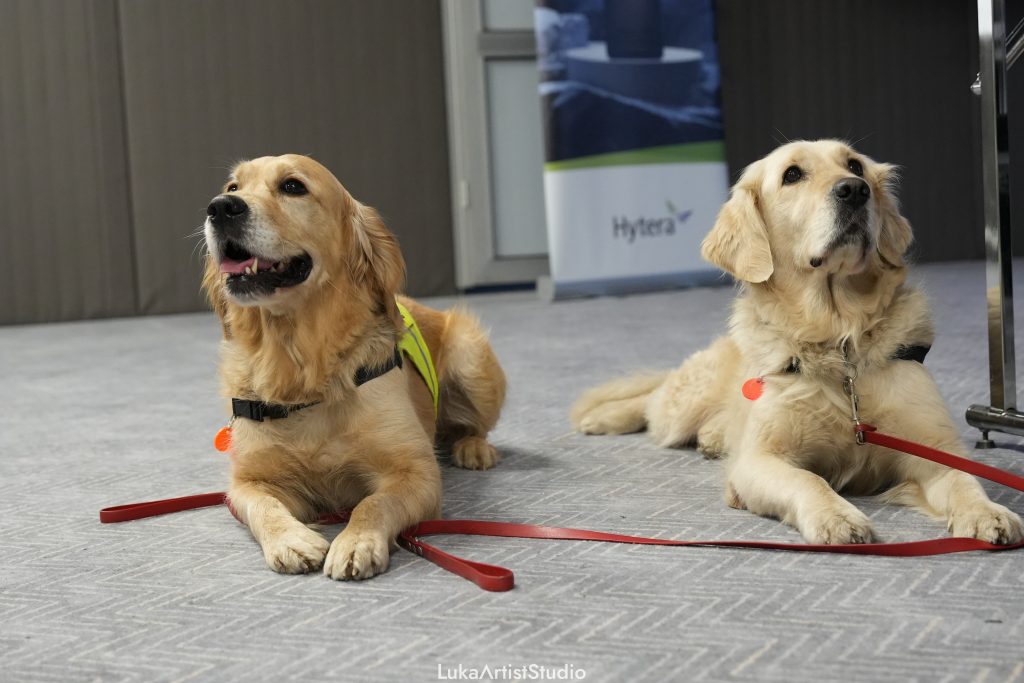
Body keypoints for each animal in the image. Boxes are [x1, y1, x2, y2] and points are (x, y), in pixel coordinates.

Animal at [199, 153, 503, 577]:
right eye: (233, 187)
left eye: (292, 186)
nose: (220, 208)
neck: (300, 363)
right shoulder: (247, 480)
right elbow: (264, 506)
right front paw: (291, 540)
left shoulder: (417, 472)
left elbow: (373, 503)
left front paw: (357, 541)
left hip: (469, 355)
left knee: (472, 426)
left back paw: (473, 447)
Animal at [573, 141, 1019, 548]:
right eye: (792, 175)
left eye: (854, 165)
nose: (854, 190)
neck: (840, 341)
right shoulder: (759, 461)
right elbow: (807, 479)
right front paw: (836, 516)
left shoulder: (931, 448)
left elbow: (964, 480)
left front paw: (988, 513)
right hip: (683, 405)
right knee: (653, 401)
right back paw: (602, 417)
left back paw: (711, 437)